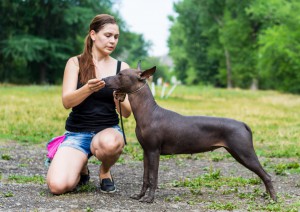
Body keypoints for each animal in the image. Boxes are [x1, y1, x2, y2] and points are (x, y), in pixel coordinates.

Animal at [103, 65, 276, 204]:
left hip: (244, 153)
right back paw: (268, 196)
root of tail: (242, 124)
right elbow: (146, 177)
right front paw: (140, 196)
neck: (148, 112)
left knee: (267, 175)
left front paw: (150, 199)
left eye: (120, 74)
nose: (104, 79)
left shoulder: (154, 151)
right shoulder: (146, 151)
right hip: (237, 153)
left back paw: (273, 199)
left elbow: (154, 178)